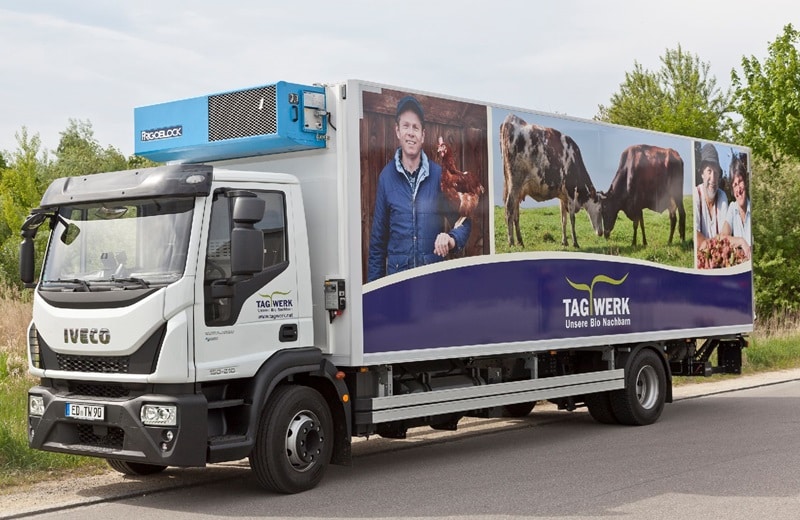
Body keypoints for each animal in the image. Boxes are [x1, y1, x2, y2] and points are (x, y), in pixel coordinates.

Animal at [500, 114, 600, 248]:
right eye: (600, 209)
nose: (601, 233)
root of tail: (511, 119)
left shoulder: (563, 196)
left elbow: (563, 219)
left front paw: (564, 242)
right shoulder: (570, 192)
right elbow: (572, 218)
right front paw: (575, 243)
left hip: (516, 187)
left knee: (515, 213)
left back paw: (520, 241)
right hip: (515, 182)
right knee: (509, 209)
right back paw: (511, 242)